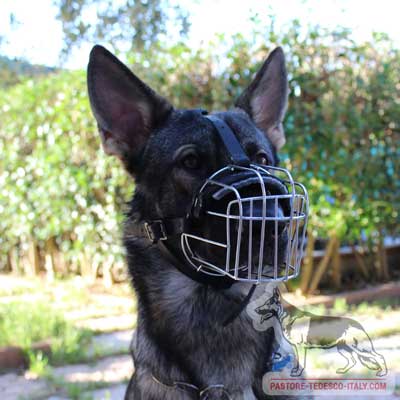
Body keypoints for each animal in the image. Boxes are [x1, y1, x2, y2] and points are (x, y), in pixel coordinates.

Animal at [255, 288, 386, 378]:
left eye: (267, 303)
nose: (256, 309)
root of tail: (356, 322)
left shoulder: (301, 347)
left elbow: (302, 362)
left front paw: (298, 373)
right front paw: (296, 371)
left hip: (359, 348)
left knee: (379, 356)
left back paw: (383, 372)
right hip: (343, 348)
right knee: (353, 361)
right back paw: (343, 371)